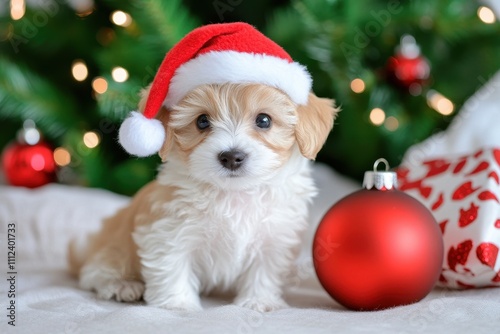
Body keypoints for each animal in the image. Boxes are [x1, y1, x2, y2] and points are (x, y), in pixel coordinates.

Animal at [68, 82, 338, 312]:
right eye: (202, 121)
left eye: (264, 120)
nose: (231, 157)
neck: (233, 193)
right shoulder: (167, 231)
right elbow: (172, 264)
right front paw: (177, 304)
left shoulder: (275, 238)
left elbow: (264, 271)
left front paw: (259, 301)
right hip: (114, 247)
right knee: (93, 273)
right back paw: (122, 285)